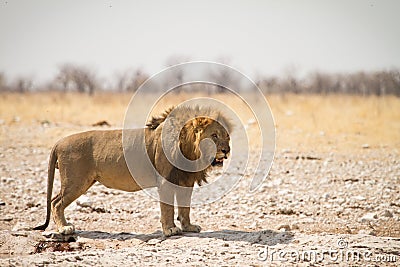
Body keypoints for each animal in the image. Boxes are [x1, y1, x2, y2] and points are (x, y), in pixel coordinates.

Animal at [33, 105, 231, 238]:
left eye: (227, 137)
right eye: (214, 136)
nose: (226, 150)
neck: (190, 150)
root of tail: (59, 142)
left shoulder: (185, 181)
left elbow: (185, 208)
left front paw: (188, 227)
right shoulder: (165, 181)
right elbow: (167, 208)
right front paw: (170, 229)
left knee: (55, 200)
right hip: (76, 181)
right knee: (56, 203)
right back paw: (64, 228)